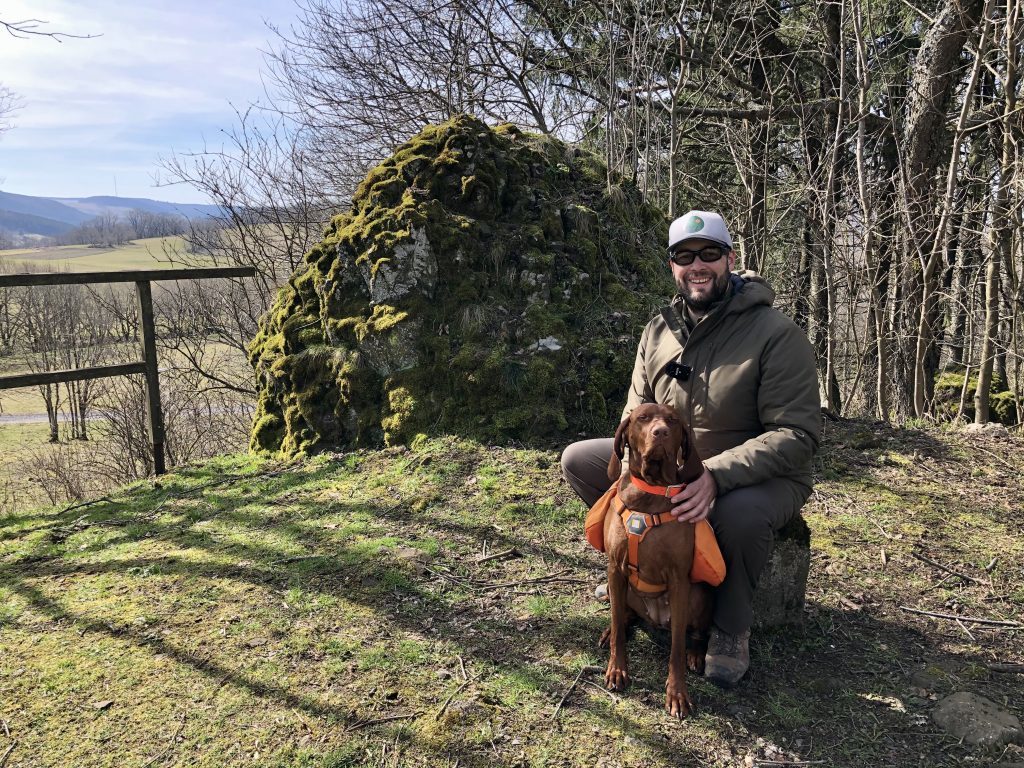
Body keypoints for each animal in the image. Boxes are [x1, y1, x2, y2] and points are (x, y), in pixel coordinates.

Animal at [598, 403, 712, 720]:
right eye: (643, 418)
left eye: (672, 421)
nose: (660, 432)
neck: (649, 493)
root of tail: (656, 618)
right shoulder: (614, 567)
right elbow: (618, 629)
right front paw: (617, 669)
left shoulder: (679, 578)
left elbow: (677, 648)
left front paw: (677, 694)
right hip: (619, 588)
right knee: (623, 614)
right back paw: (611, 629)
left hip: (698, 595)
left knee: (697, 632)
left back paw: (697, 654)